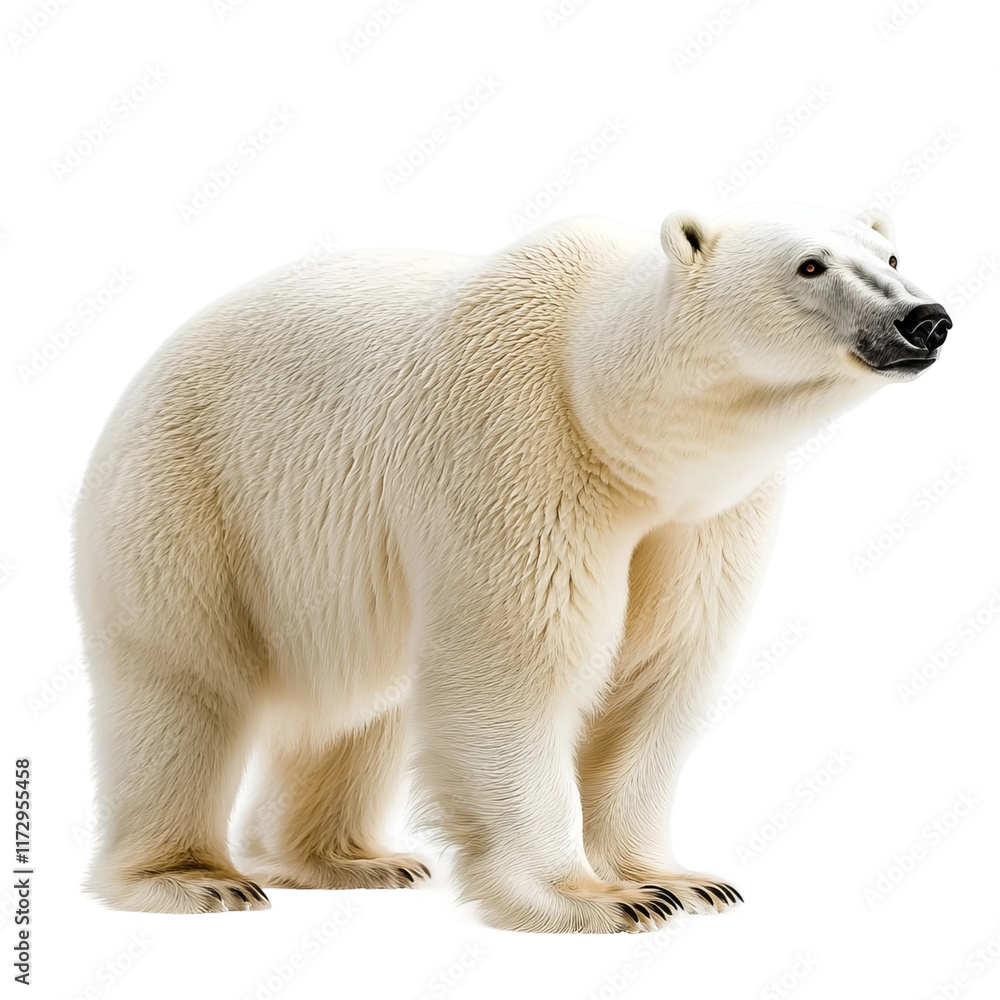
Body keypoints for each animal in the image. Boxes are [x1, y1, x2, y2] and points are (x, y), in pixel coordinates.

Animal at [73, 202, 951, 932]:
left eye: (892, 252)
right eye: (810, 265)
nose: (925, 318)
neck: (612, 417)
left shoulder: (704, 516)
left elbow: (660, 669)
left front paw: (682, 880)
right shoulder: (518, 447)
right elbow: (518, 663)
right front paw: (598, 898)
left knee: (362, 710)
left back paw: (352, 860)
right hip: (193, 501)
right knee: (181, 685)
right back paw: (196, 877)